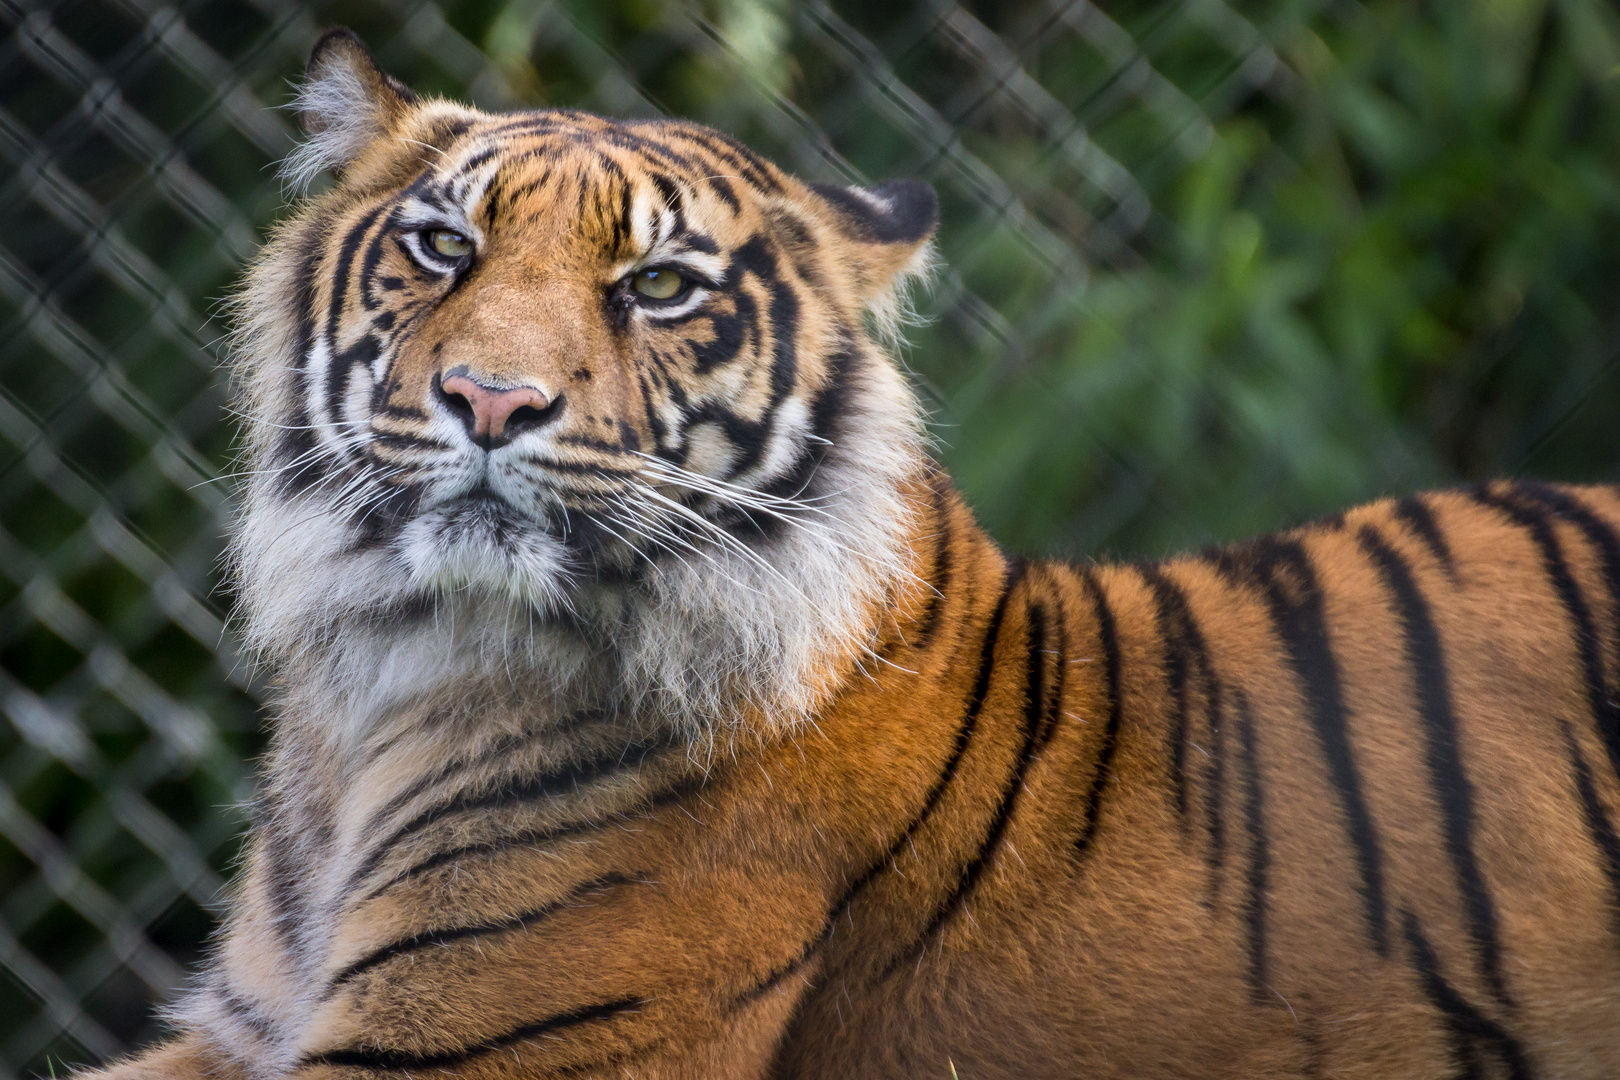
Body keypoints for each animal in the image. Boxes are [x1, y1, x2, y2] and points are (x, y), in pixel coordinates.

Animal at [91, 31, 1620, 1080]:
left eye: (658, 286)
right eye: (442, 246)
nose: (491, 398)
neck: (395, 675)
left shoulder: (465, 1047)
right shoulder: (241, 1027)